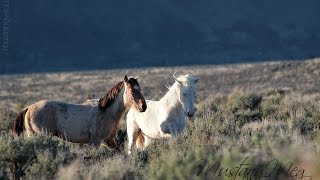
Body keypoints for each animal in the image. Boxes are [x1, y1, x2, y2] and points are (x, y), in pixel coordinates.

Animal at [12, 75, 148, 148]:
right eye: (132, 90)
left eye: (140, 89)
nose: (143, 107)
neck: (106, 111)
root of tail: (29, 108)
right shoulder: (95, 142)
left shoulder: (109, 141)